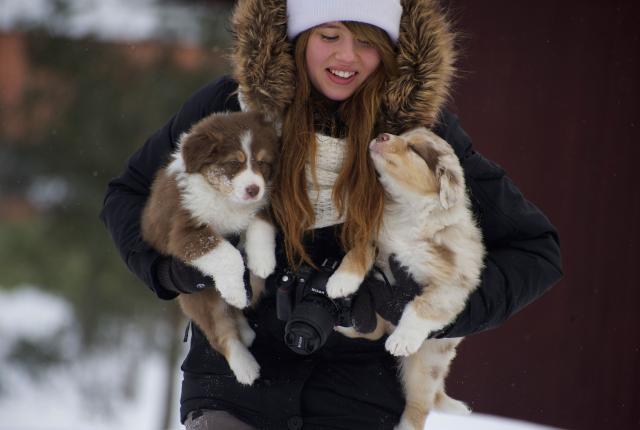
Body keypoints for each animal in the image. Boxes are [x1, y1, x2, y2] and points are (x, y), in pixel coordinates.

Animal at [141, 111, 278, 386]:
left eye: (261, 163)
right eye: (234, 162)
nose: (254, 189)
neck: (224, 198)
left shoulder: (260, 204)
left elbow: (259, 220)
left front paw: (262, 261)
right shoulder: (185, 232)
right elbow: (228, 254)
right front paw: (235, 292)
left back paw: (245, 328)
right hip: (199, 298)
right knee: (220, 333)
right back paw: (245, 365)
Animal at [330, 127, 484, 430]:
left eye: (414, 149)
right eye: (402, 134)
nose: (381, 135)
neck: (408, 214)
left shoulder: (452, 284)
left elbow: (420, 307)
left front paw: (402, 339)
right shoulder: (375, 236)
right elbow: (358, 252)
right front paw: (341, 281)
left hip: (427, 364)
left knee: (419, 406)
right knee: (373, 329)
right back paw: (348, 325)